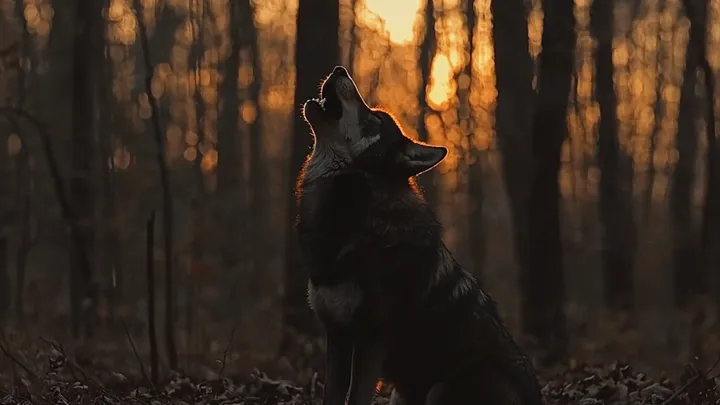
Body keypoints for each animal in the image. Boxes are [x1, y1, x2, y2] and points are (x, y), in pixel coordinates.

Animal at [295, 66, 544, 405]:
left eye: (374, 119)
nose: (339, 69)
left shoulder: (371, 341)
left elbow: (357, 397)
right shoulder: (337, 336)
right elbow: (331, 396)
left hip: (438, 388)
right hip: (402, 393)